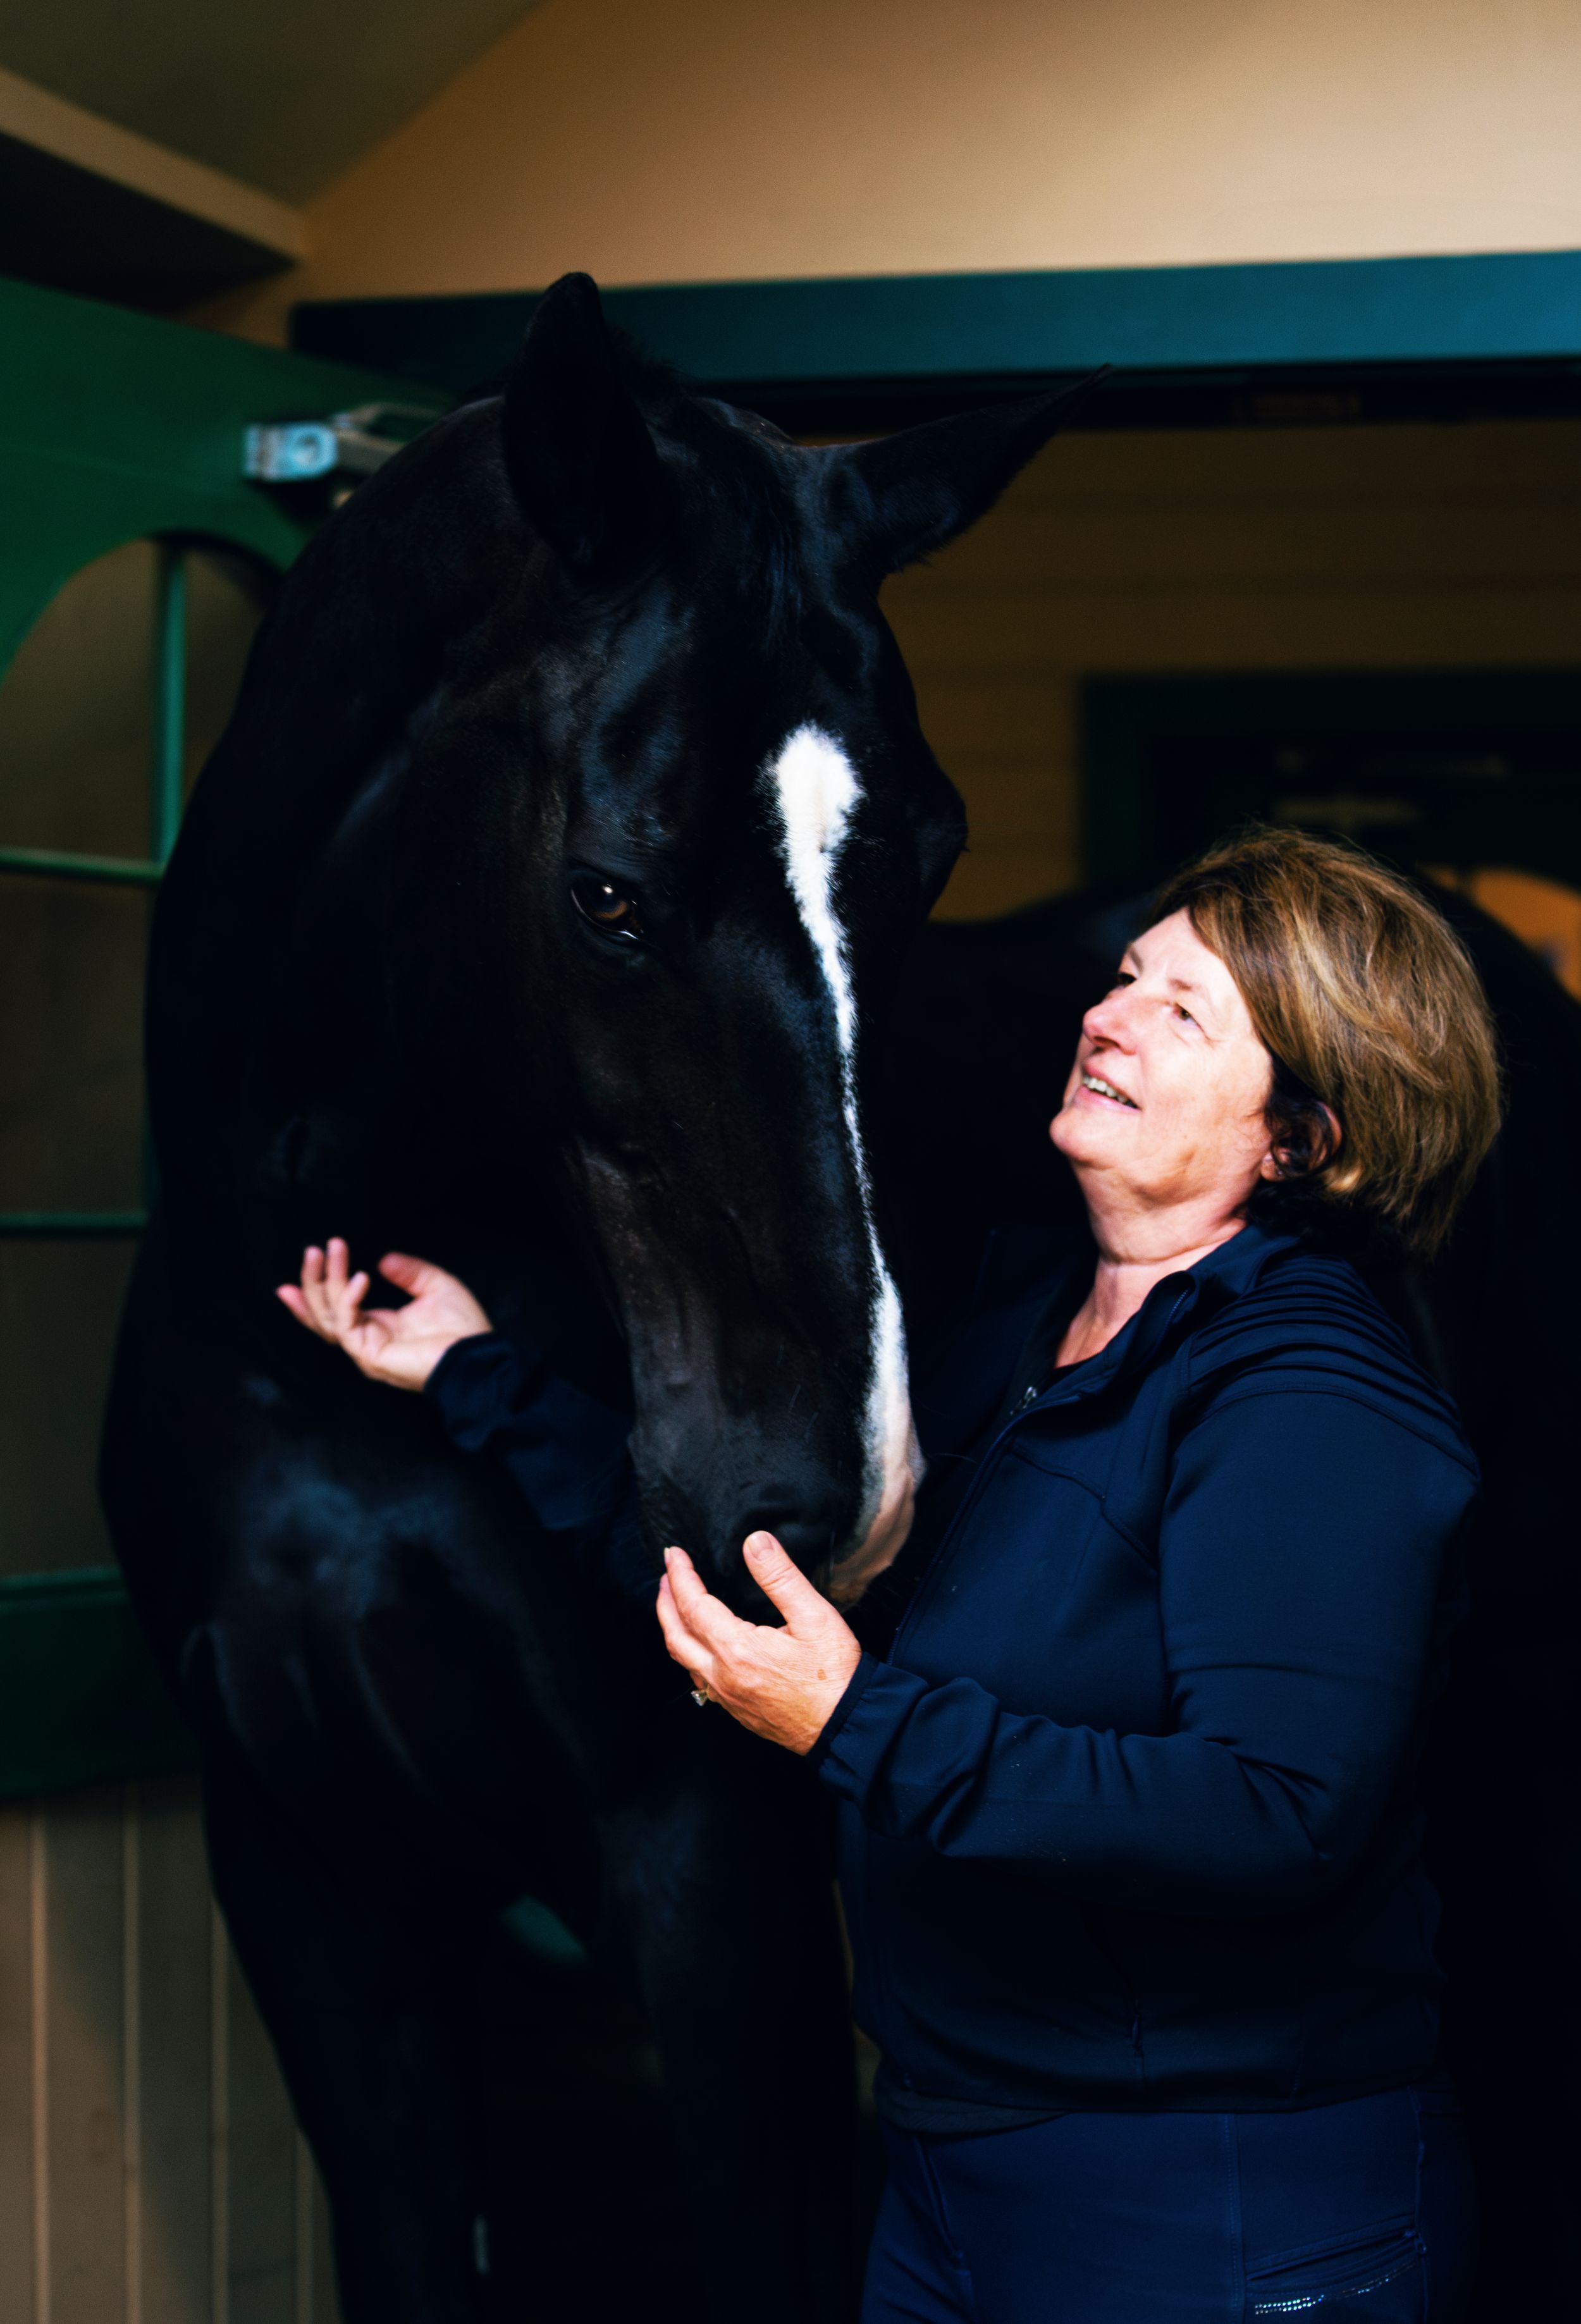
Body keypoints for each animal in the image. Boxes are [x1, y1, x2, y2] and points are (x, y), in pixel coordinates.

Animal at [100, 273, 1088, 2324]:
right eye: (610, 894)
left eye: (930, 860)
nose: (828, 1499)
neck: (326, 1408)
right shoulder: (315, 1881)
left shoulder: (706, 1883)